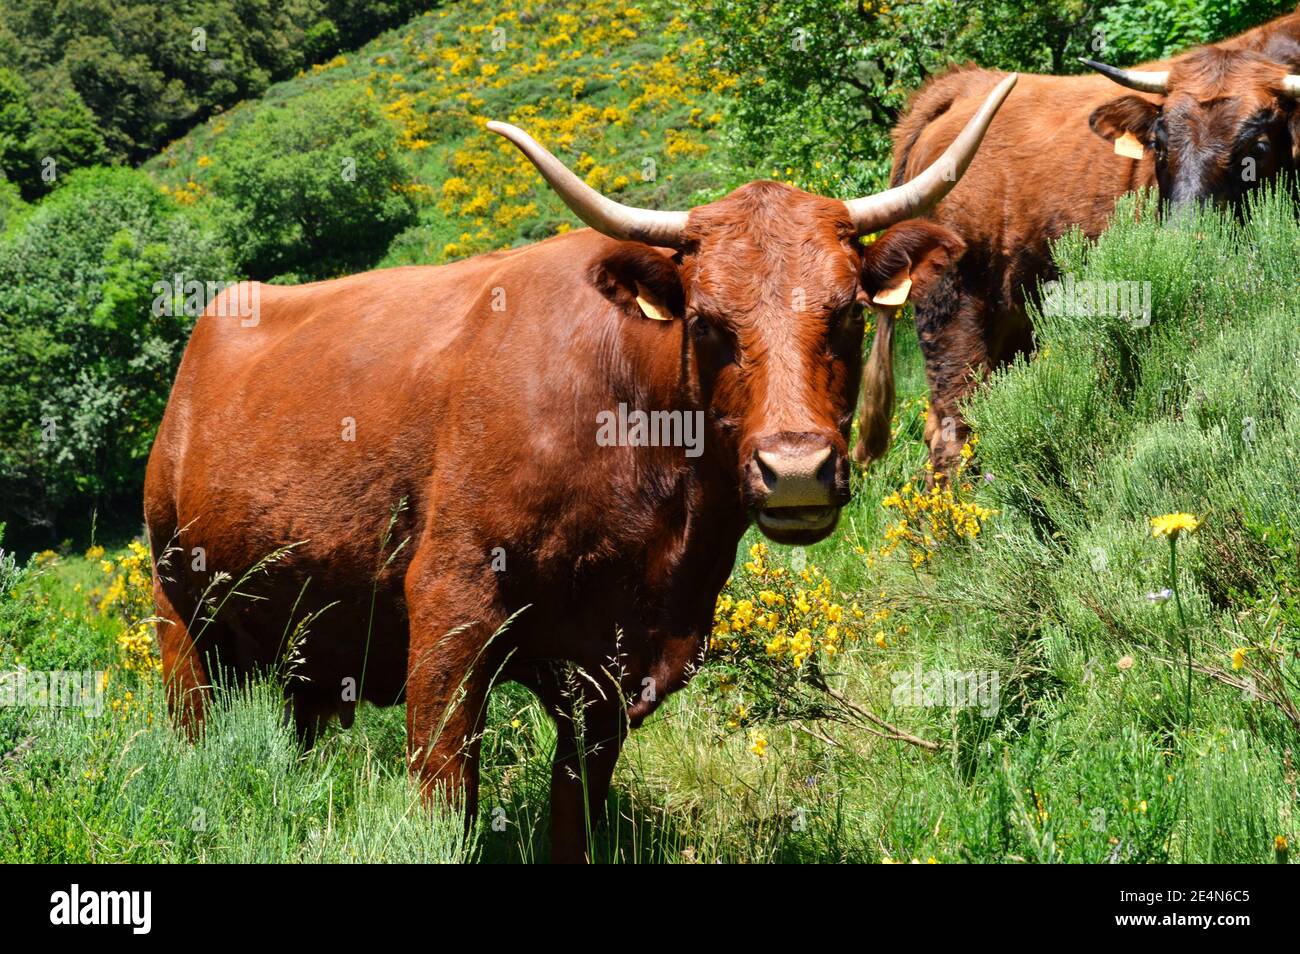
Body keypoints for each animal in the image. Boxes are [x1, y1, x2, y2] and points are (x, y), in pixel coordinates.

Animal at [142, 74, 1013, 863]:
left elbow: (576, 811)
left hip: (303, 649)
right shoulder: (450, 608)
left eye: (846, 312)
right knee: (193, 729)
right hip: (180, 613)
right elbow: (445, 799)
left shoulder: (616, 669)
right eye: (707, 323)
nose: (795, 467)